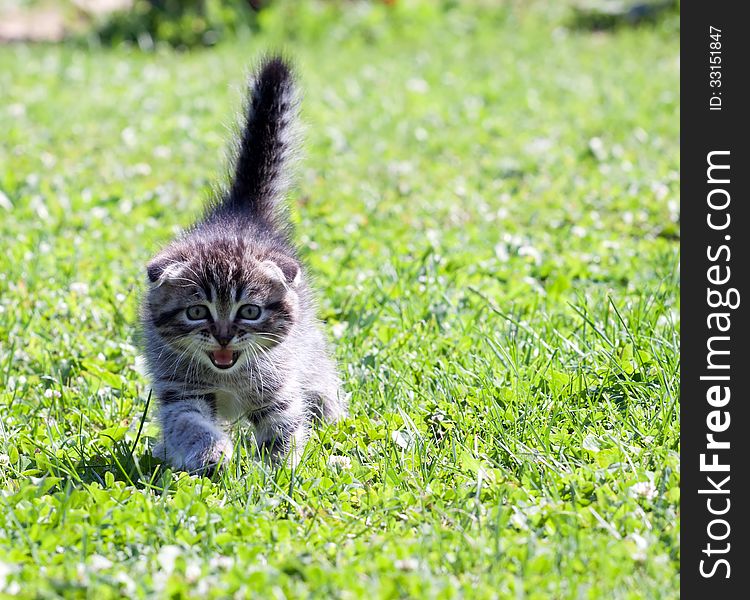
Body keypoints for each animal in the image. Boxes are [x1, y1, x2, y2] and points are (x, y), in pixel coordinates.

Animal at [141, 55, 346, 474]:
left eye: (249, 311)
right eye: (197, 312)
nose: (223, 337)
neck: (228, 375)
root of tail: (242, 210)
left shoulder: (279, 384)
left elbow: (283, 423)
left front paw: (279, 470)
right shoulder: (179, 390)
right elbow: (187, 422)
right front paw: (210, 454)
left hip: (307, 343)